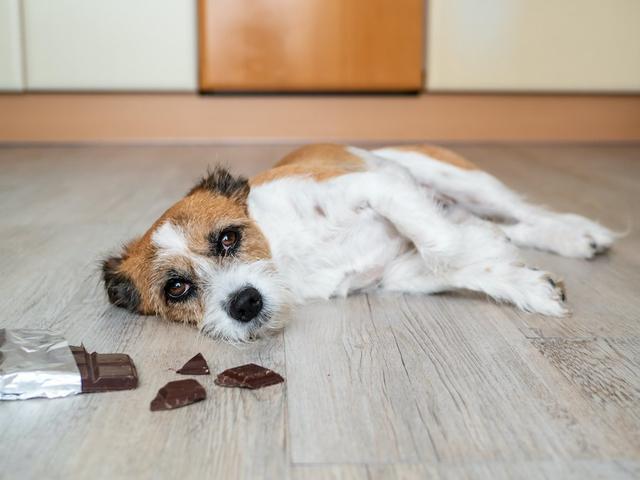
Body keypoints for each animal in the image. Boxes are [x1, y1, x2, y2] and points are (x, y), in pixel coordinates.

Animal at [101, 143, 616, 342]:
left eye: (229, 238)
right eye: (177, 289)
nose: (244, 303)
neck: (287, 252)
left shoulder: (378, 186)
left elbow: (442, 245)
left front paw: (486, 250)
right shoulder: (396, 274)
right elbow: (452, 262)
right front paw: (524, 282)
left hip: (462, 180)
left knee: (525, 213)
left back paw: (580, 234)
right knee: (512, 225)